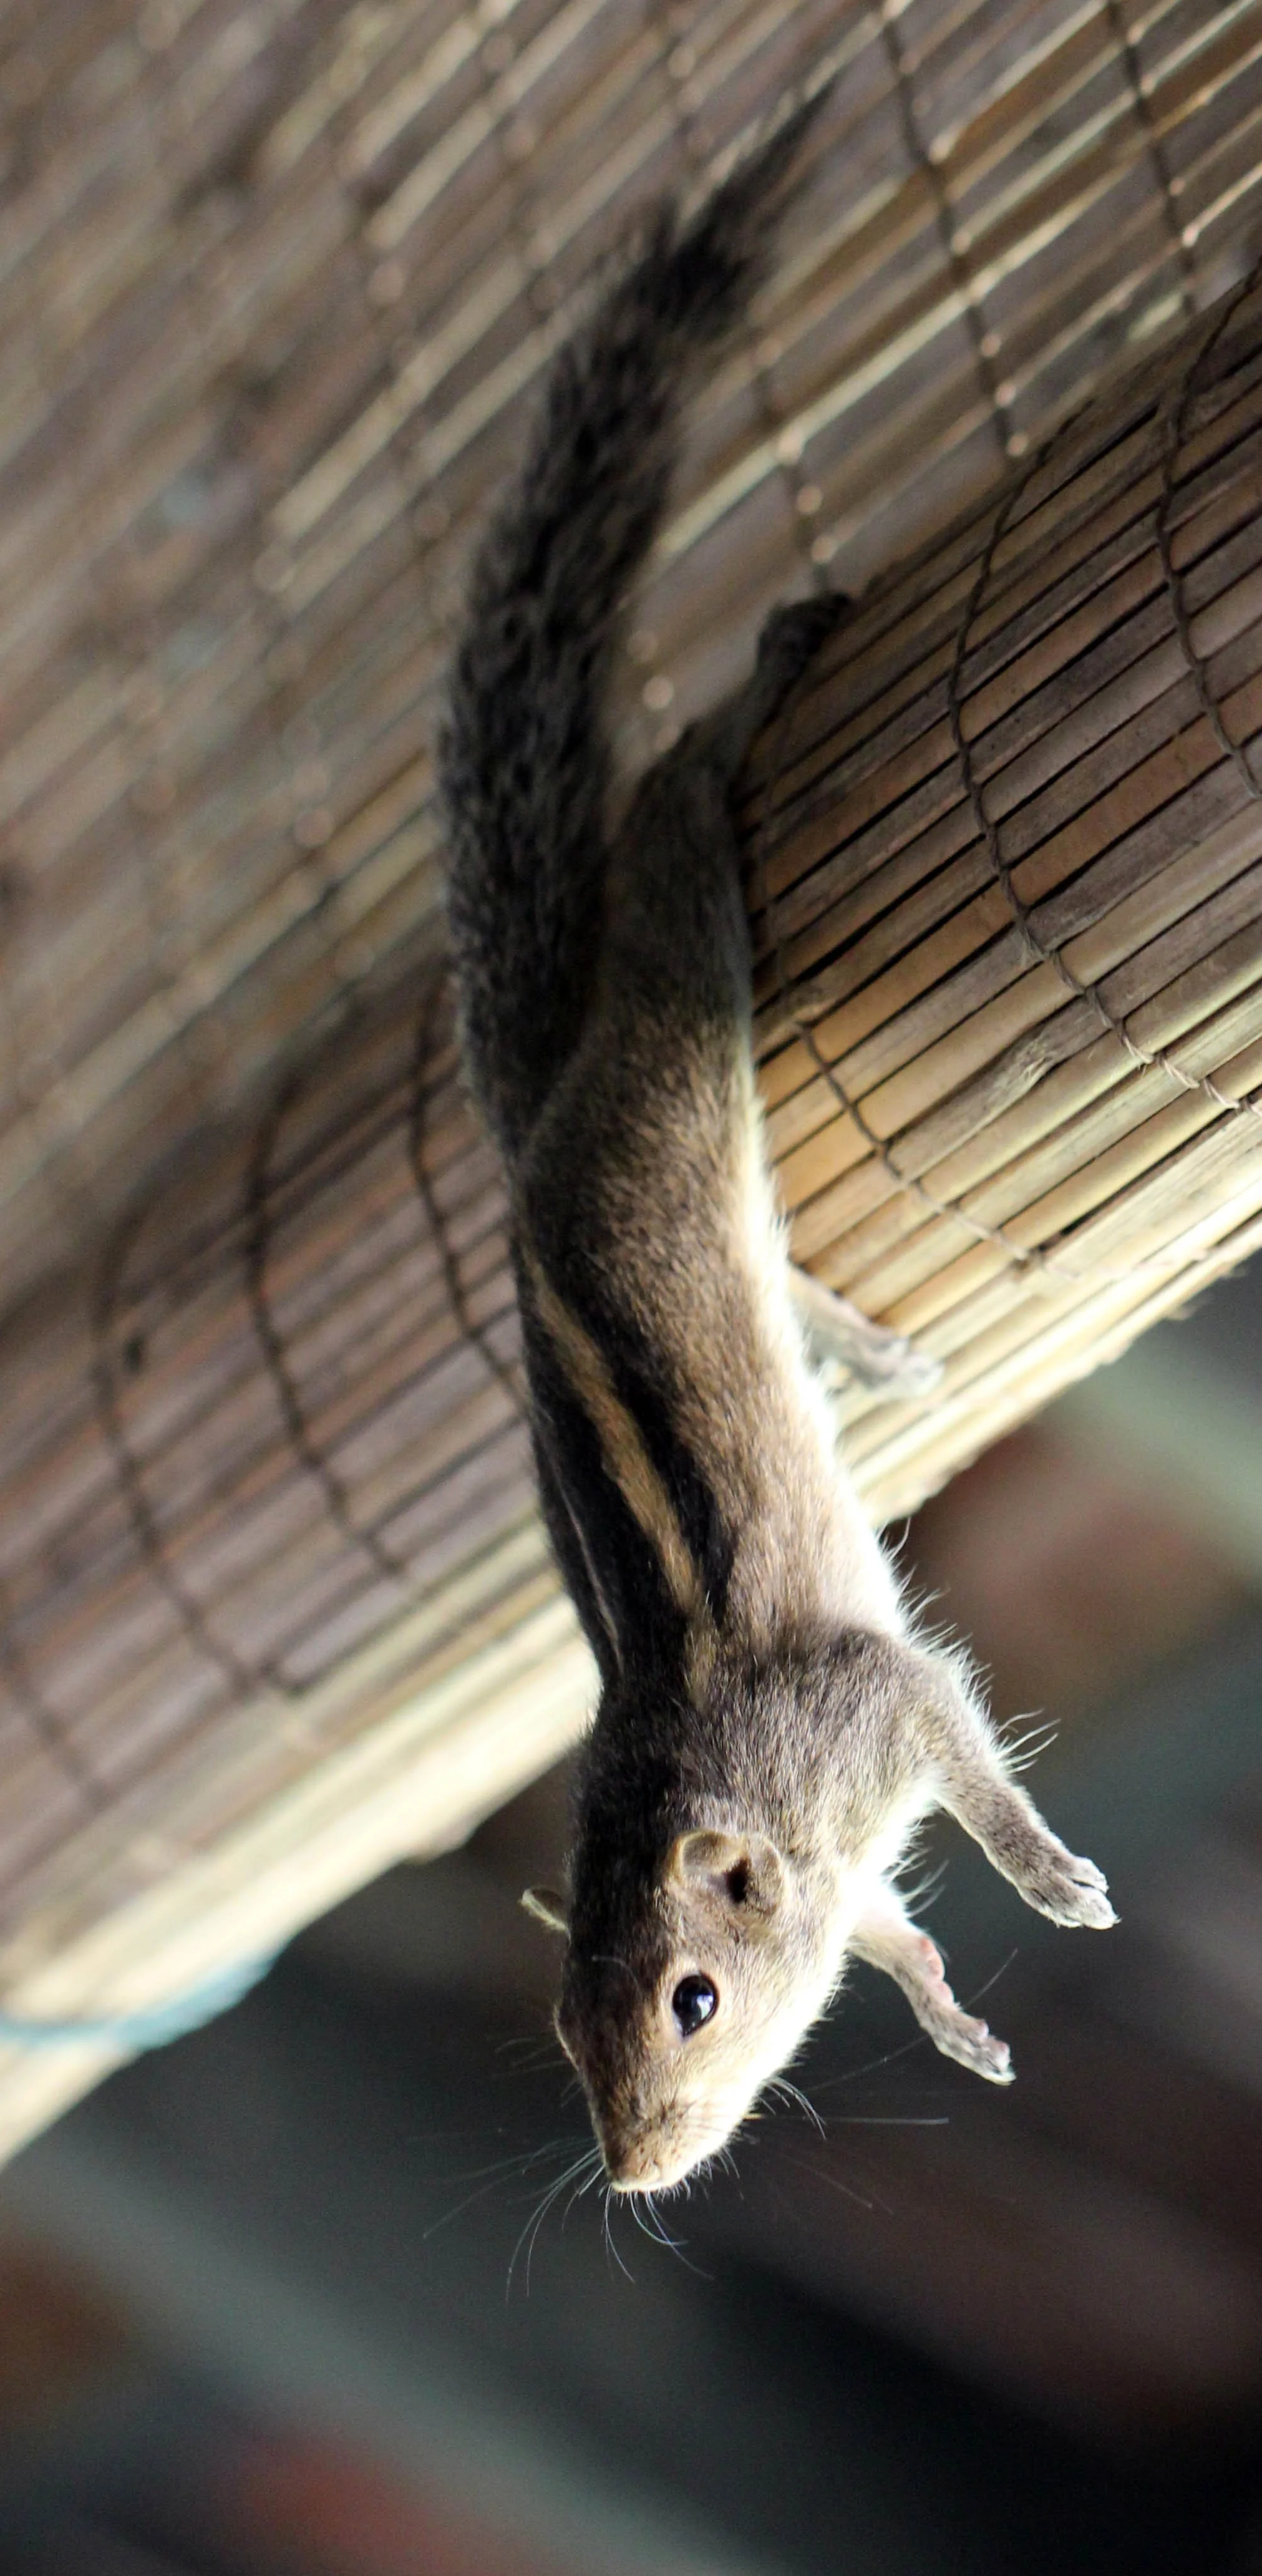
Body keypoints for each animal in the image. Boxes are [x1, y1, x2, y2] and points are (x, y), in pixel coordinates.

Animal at [440, 90, 1115, 2197]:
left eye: (687, 1999)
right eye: (563, 2036)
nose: (638, 2173)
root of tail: (533, 1128)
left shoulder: (879, 1698)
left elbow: (964, 1767)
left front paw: (1044, 1884)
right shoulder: (845, 1827)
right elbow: (885, 1931)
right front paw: (956, 2013)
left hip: (672, 1034)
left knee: (671, 807)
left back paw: (776, 654)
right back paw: (866, 1347)